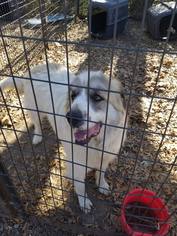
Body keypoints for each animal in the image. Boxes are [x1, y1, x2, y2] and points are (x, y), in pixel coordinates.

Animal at [0, 63, 127, 213]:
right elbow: (80, 187)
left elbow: (101, 173)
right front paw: (84, 202)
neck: (96, 144)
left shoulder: (104, 158)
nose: (71, 118)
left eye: (97, 97)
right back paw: (37, 136)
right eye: (73, 96)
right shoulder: (76, 167)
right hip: (35, 110)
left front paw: (101, 185)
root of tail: (35, 68)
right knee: (37, 123)